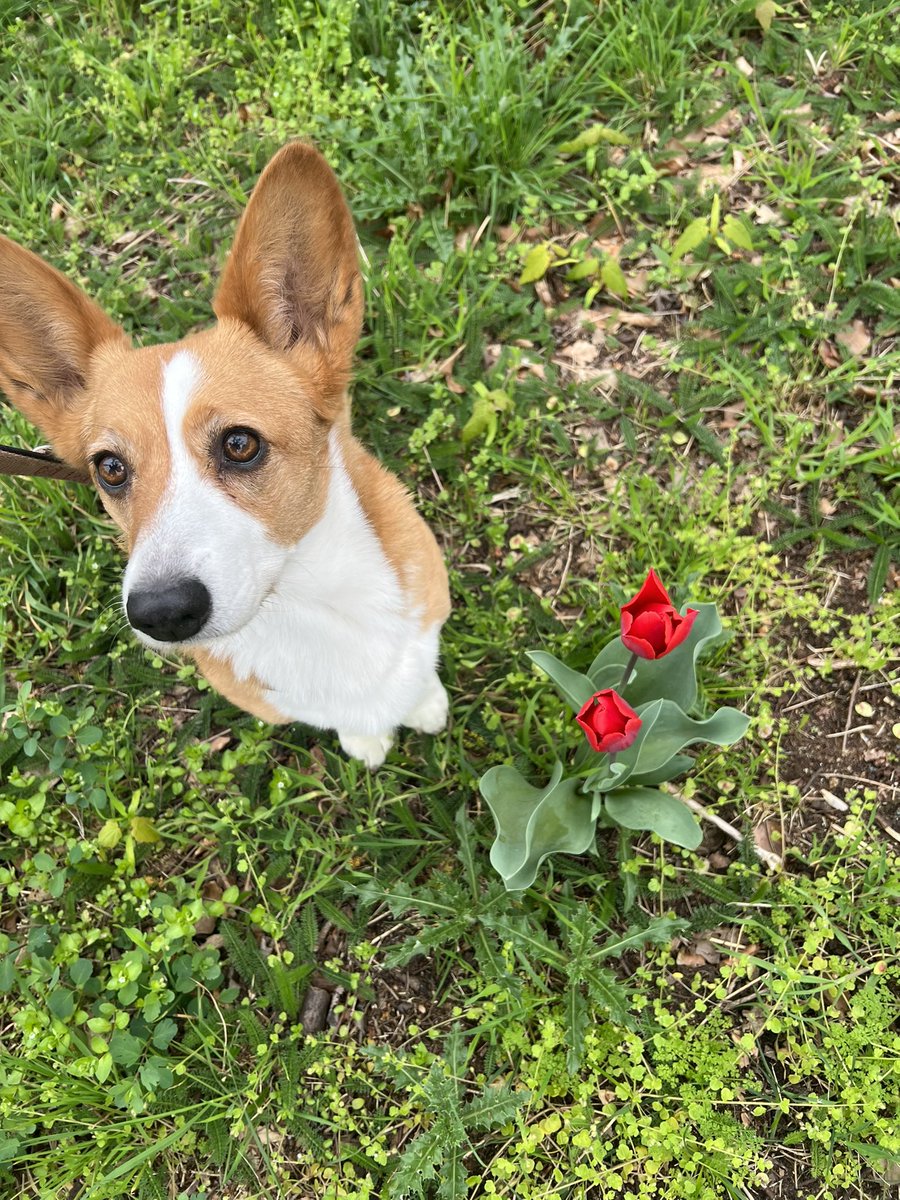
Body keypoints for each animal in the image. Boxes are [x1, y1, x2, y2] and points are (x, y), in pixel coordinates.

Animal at [0, 142, 451, 768]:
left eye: (240, 444)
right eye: (110, 469)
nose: (161, 612)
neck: (305, 601)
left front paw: (425, 702)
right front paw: (367, 737)